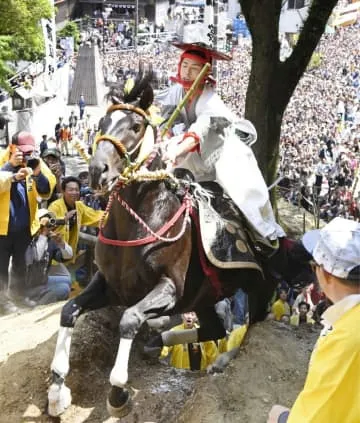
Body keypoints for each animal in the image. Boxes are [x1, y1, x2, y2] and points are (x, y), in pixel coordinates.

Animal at [47, 71, 290, 420]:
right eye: (103, 121)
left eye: (136, 126)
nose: (96, 172)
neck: (138, 223)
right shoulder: (108, 284)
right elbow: (69, 310)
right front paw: (56, 388)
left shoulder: (169, 287)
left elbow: (129, 319)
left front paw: (118, 393)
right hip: (205, 296)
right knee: (215, 329)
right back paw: (158, 343)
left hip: (258, 287)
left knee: (247, 328)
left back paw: (221, 360)